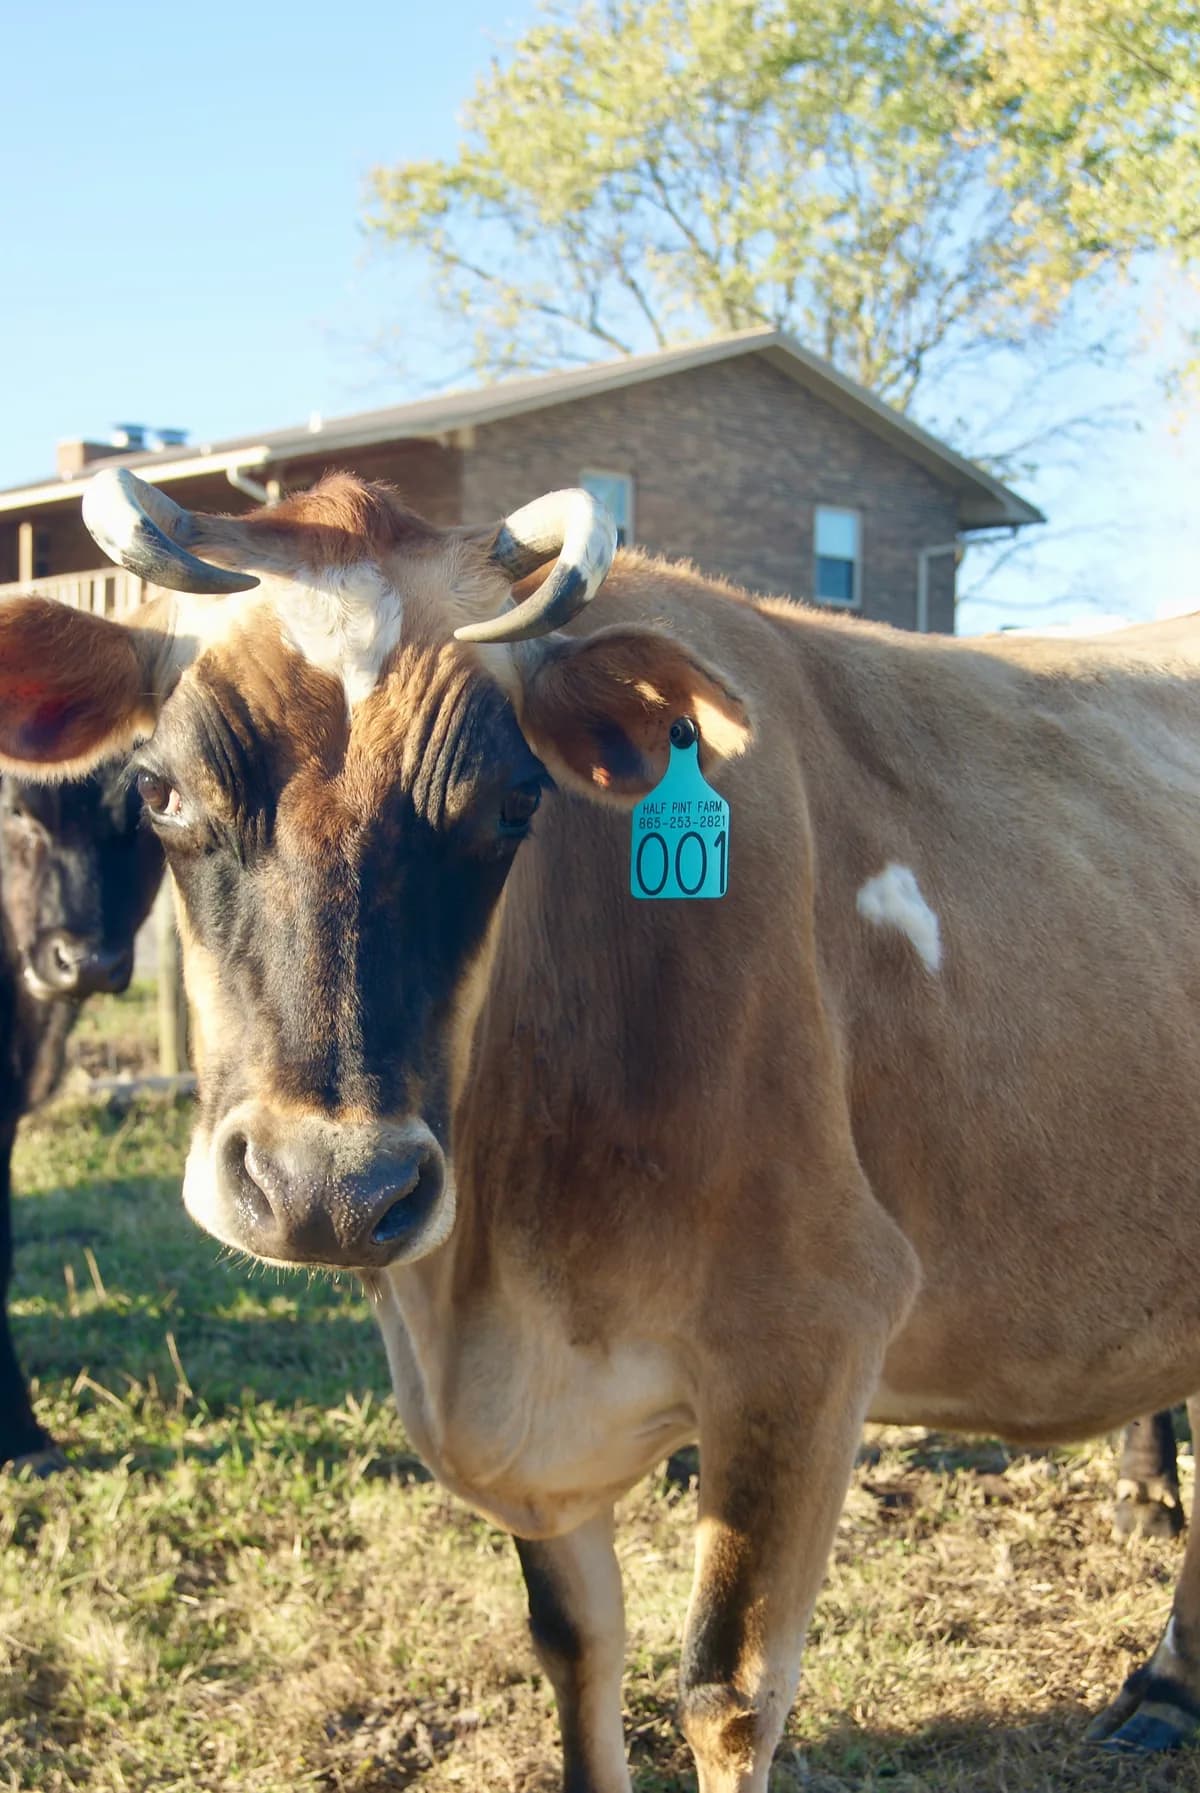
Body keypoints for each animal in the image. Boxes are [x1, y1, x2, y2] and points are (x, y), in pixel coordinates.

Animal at [2, 465, 1200, 1785]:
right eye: (160, 791)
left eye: (515, 800)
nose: (330, 1188)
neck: (484, 1297)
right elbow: (575, 1643)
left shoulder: (812, 1331)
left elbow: (729, 1690)